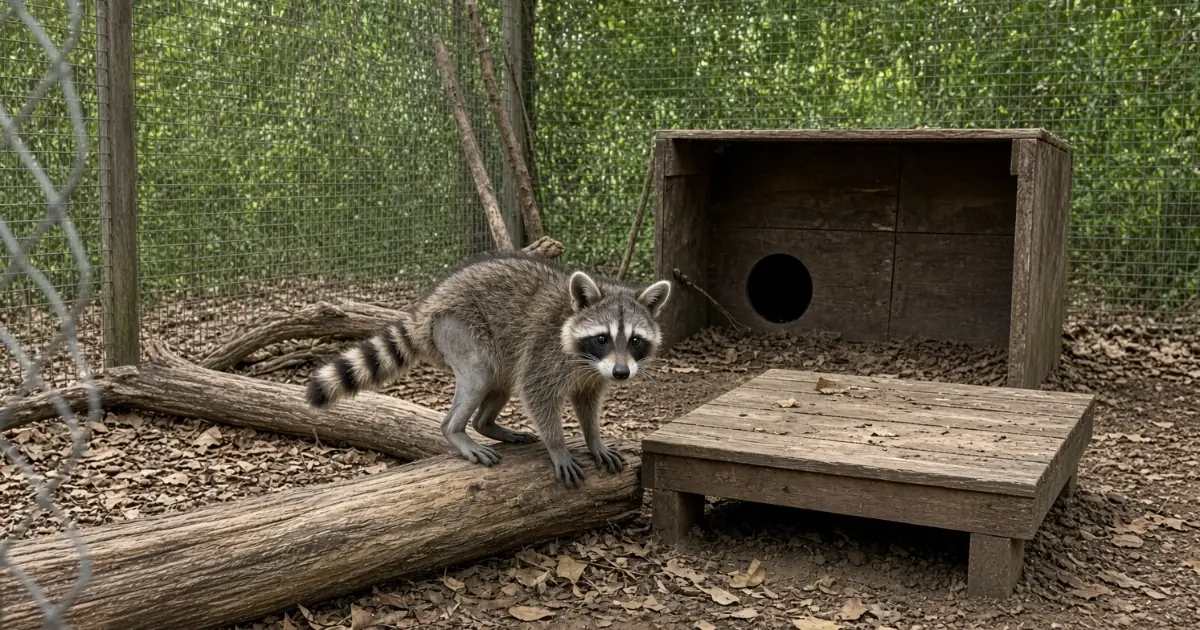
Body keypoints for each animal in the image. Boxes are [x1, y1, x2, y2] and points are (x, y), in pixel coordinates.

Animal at [305, 251, 672, 488]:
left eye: (635, 341)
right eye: (602, 338)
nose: (622, 374)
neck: (586, 356)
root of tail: (428, 304)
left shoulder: (592, 375)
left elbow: (587, 402)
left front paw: (593, 438)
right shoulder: (546, 352)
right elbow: (535, 393)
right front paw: (558, 446)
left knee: (502, 380)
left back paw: (487, 424)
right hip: (458, 327)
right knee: (481, 373)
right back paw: (455, 430)